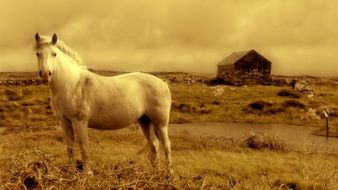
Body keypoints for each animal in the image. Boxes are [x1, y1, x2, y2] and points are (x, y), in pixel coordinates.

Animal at [33, 33, 172, 171]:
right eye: (38, 54)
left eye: (54, 53)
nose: (45, 74)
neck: (72, 84)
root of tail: (163, 83)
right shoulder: (65, 123)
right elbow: (70, 150)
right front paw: (72, 173)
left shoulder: (80, 122)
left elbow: (84, 149)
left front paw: (87, 174)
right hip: (145, 121)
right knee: (154, 145)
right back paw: (155, 172)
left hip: (161, 124)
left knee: (166, 145)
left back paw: (168, 173)